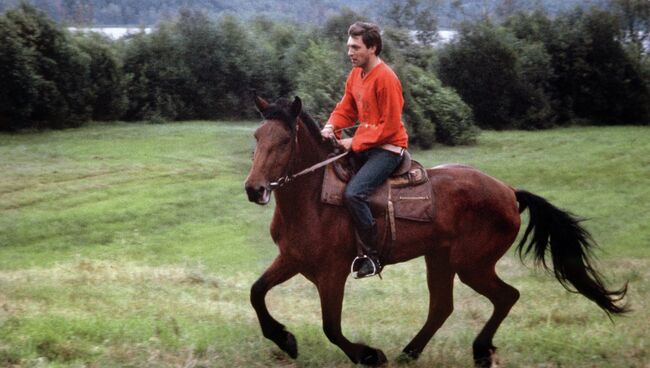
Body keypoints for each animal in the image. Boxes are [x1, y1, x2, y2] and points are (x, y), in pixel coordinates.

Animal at [242, 96, 624, 366]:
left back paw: (479, 351)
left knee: (506, 296)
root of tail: (509, 192)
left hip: (471, 265)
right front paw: (284, 339)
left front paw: (369, 355)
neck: (313, 198)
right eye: (258, 136)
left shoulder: (332, 273)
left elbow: (331, 327)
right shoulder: (291, 259)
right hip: (441, 259)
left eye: (285, 140)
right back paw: (411, 353)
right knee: (443, 306)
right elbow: (257, 292)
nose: (254, 189)